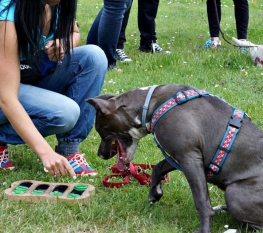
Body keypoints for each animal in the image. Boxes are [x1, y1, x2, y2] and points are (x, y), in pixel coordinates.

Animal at [87, 84, 263, 233]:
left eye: (100, 130)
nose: (100, 154)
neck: (149, 105)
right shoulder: (179, 156)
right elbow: (158, 167)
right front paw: (155, 193)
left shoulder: (189, 158)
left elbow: (201, 201)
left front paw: (204, 229)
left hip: (234, 193)